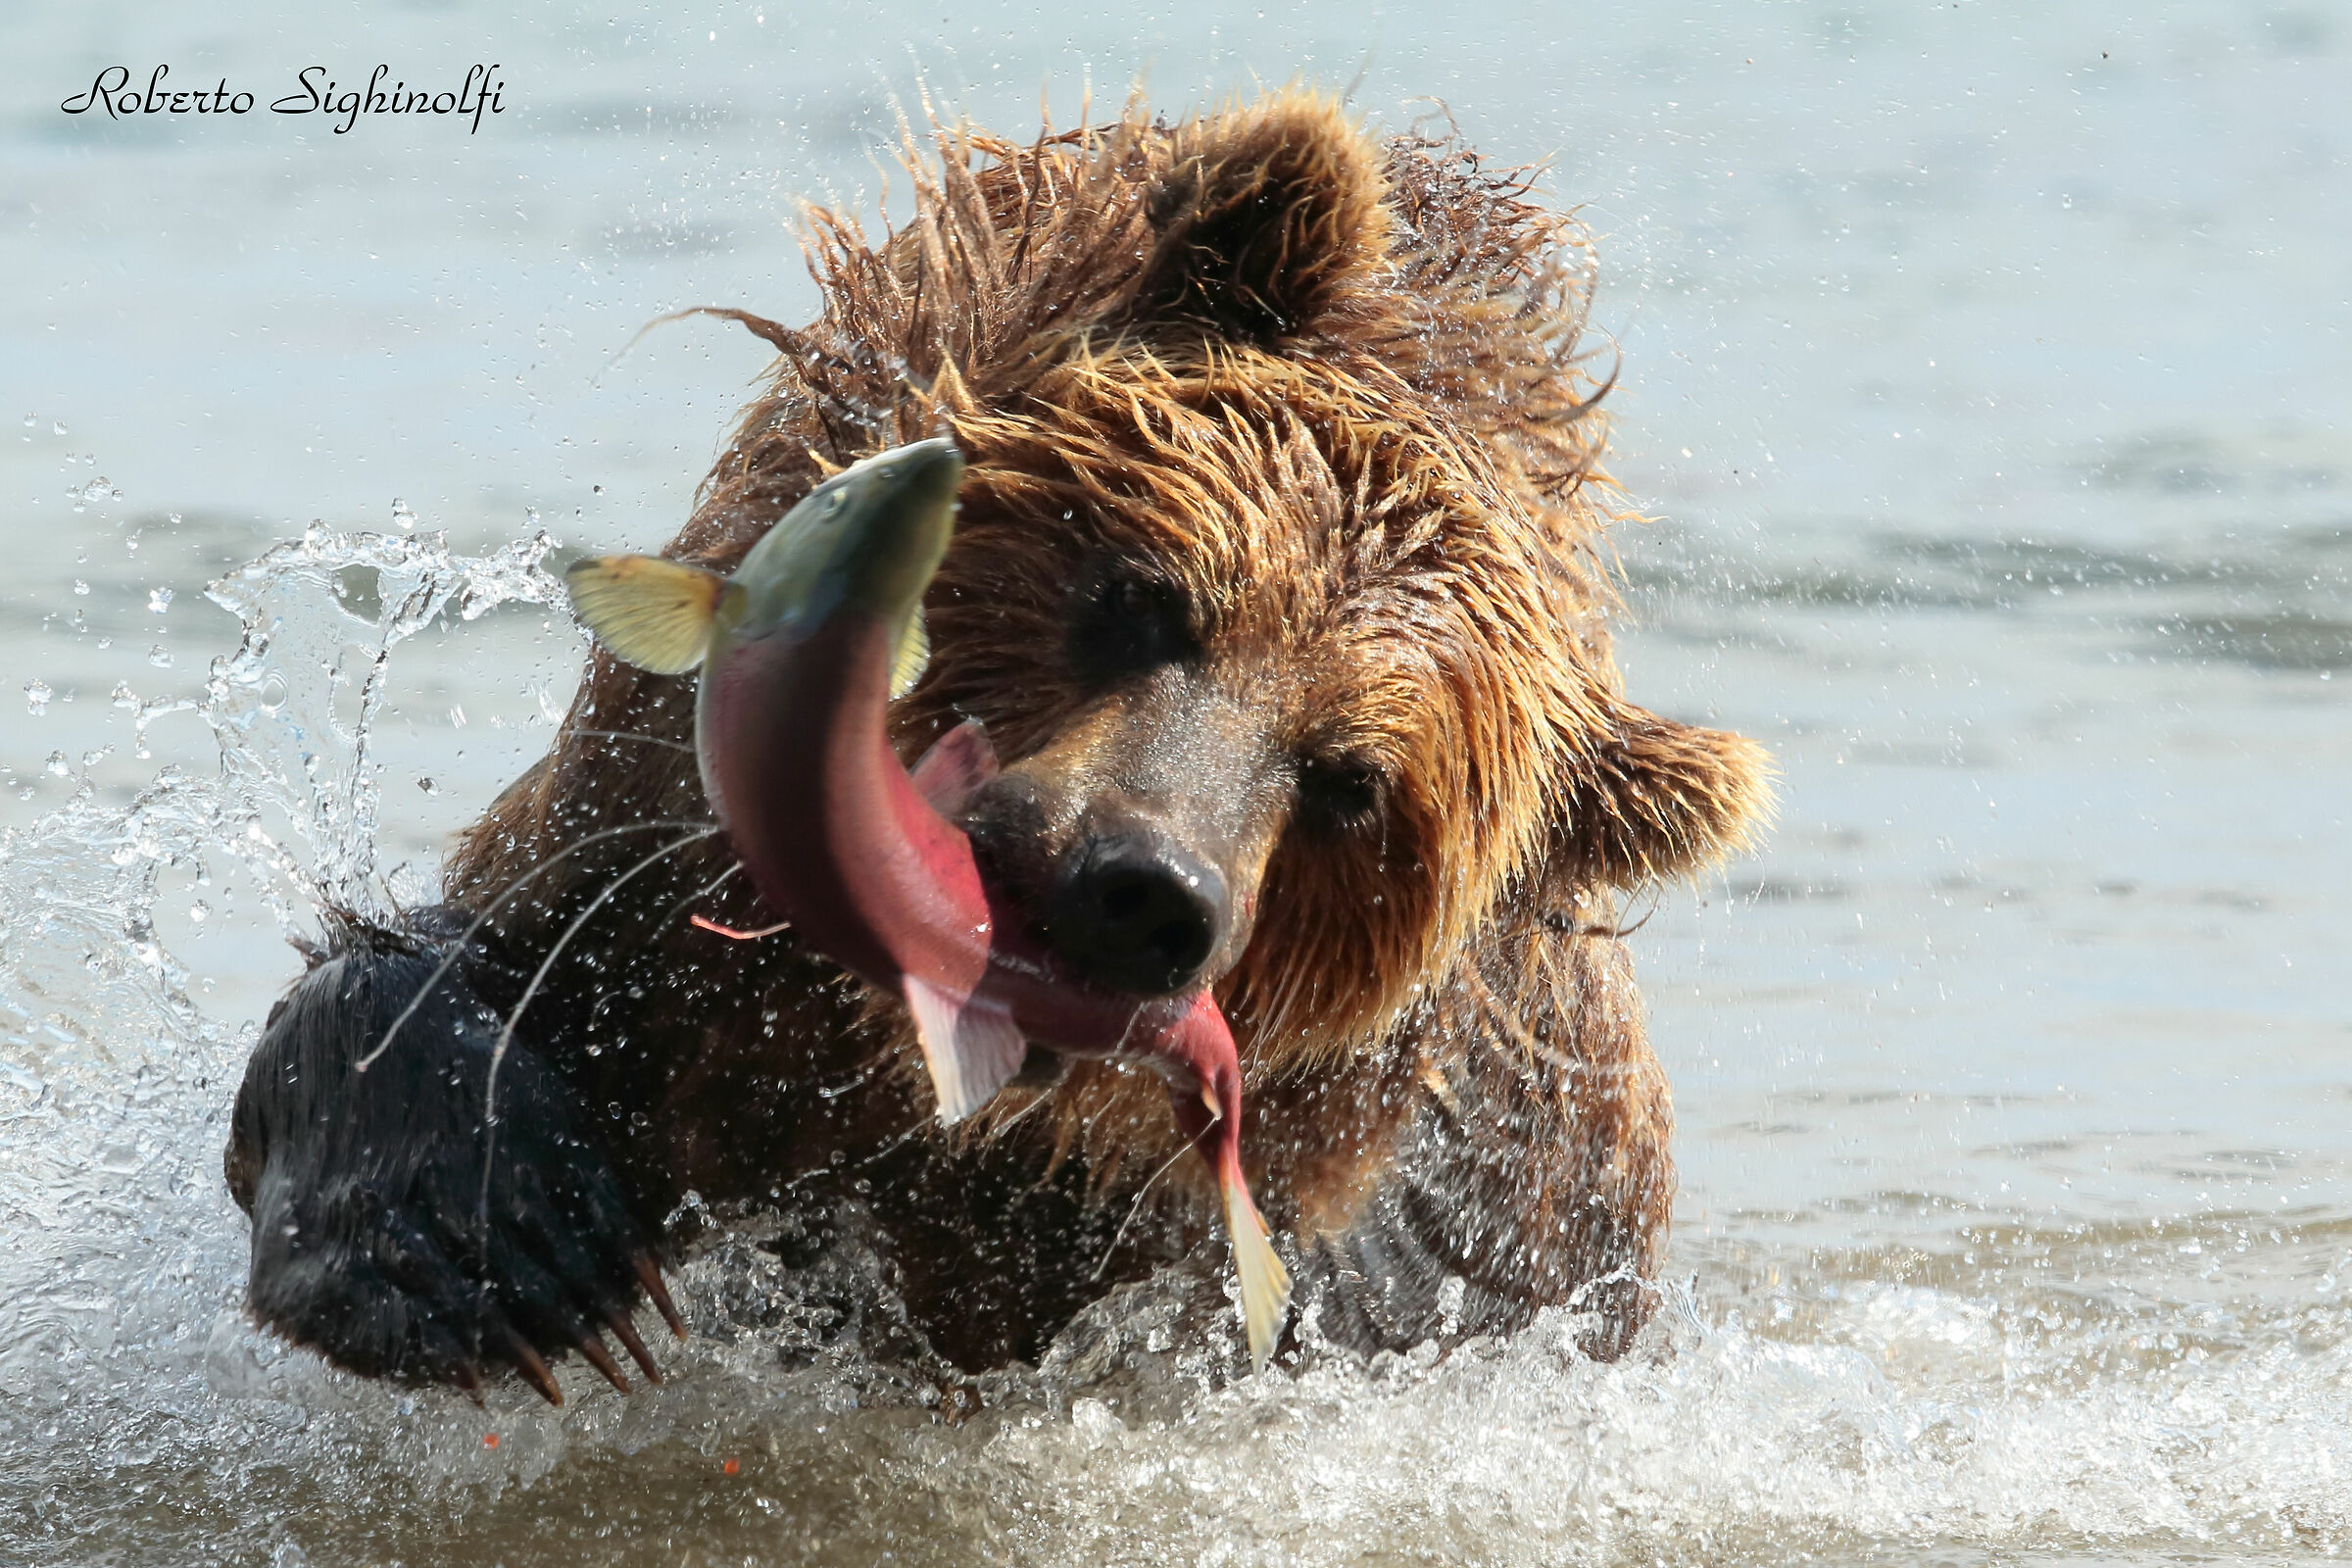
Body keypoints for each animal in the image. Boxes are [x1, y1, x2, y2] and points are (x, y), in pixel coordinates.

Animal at [223, 89, 1770, 1395]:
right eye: (1145, 598)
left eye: (1351, 785)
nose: (1133, 883)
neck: (883, 1066)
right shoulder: (649, 892)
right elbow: (450, 977)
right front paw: (495, 1240)